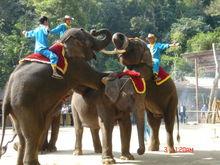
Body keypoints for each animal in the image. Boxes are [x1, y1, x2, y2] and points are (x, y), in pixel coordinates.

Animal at [0, 27, 111, 164]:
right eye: (89, 43)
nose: (94, 30)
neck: (63, 42)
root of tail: (7, 95)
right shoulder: (76, 66)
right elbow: (95, 79)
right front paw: (111, 75)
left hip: (15, 109)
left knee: (22, 136)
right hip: (25, 104)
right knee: (34, 132)